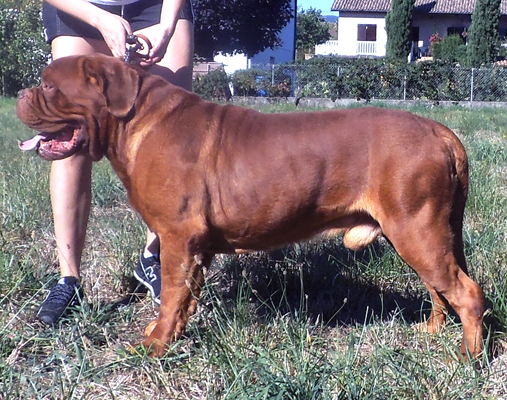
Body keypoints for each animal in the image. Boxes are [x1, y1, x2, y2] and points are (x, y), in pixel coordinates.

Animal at [15, 54, 486, 358]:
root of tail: (440, 131)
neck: (134, 121)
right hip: (422, 234)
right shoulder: (196, 247)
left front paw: (155, 346)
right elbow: (185, 297)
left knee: (466, 292)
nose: (20, 92)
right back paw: (432, 331)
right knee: (439, 288)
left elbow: (171, 296)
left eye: (49, 85)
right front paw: (173, 333)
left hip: (416, 230)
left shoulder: (177, 237)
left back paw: (468, 356)